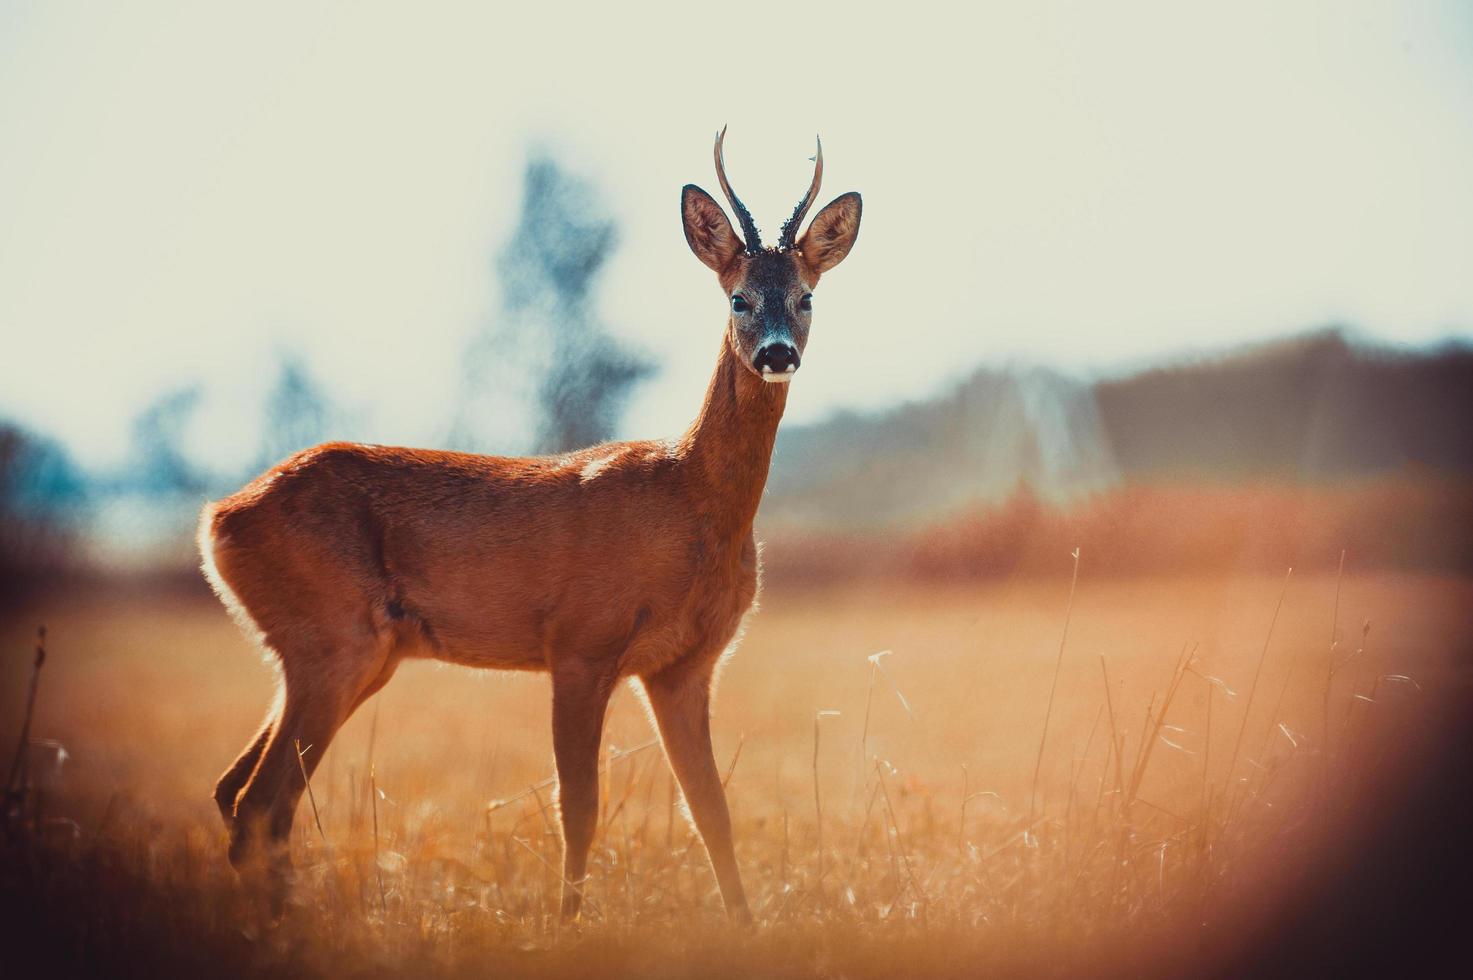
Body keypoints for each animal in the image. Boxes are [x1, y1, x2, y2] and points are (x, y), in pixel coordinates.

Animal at [198, 128, 860, 919]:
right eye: (738, 298)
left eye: (805, 297)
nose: (776, 353)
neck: (690, 502)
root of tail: (218, 521)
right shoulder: (579, 643)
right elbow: (579, 808)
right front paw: (565, 927)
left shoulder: (683, 666)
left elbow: (712, 813)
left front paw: (745, 929)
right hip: (332, 640)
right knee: (260, 801)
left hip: (348, 656)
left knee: (237, 792)